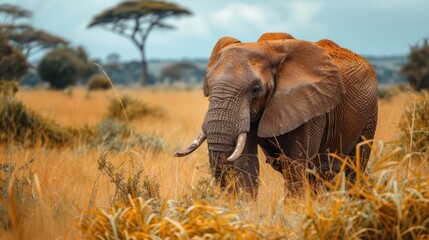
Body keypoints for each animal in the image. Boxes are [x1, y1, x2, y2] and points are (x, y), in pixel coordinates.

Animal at [172, 31, 376, 197]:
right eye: (208, 87)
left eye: (255, 89)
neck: (268, 49)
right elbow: (246, 166)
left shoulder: (311, 107)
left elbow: (296, 167)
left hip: (370, 113)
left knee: (354, 169)